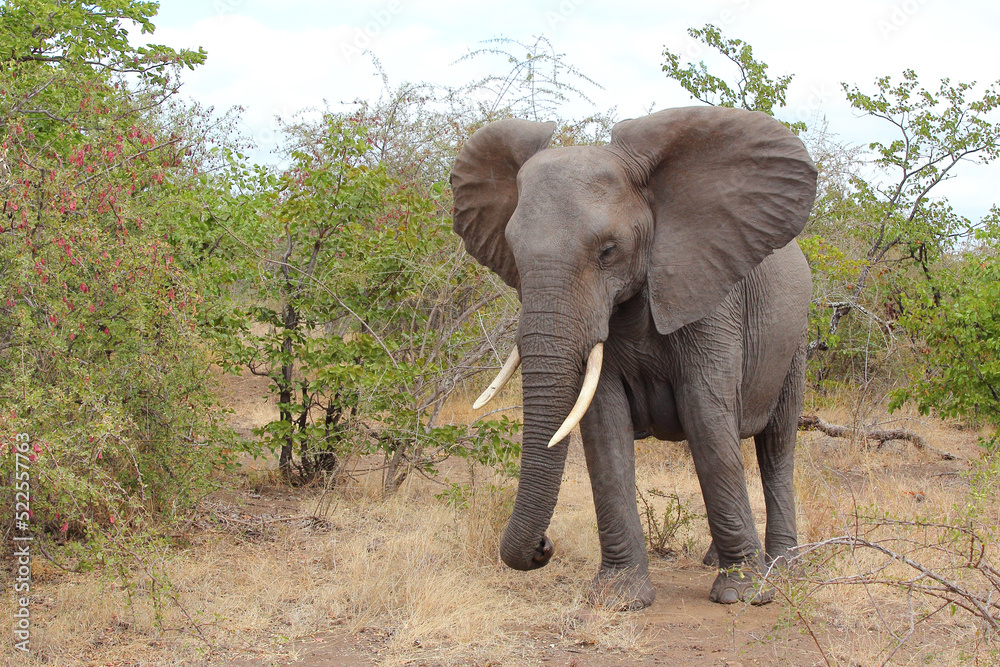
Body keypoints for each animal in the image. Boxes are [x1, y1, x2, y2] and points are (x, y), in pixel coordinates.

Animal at [450, 106, 817, 609]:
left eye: (608, 252)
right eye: (515, 255)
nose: (544, 546)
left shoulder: (707, 297)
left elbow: (706, 416)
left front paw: (740, 594)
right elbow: (604, 428)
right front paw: (619, 598)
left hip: (795, 339)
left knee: (776, 445)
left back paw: (781, 571)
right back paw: (716, 562)